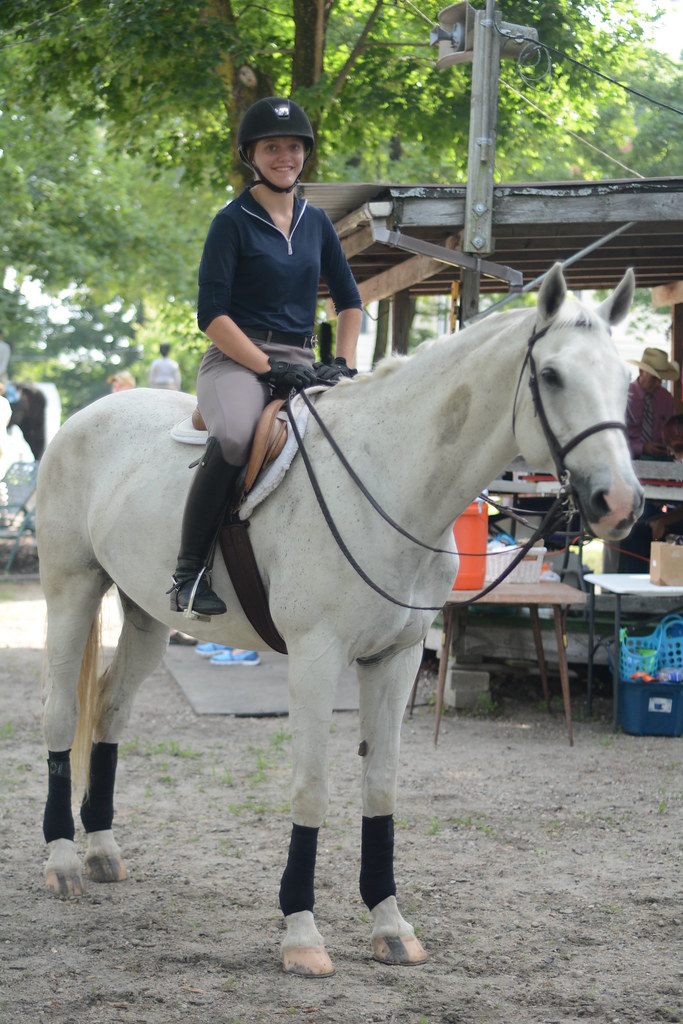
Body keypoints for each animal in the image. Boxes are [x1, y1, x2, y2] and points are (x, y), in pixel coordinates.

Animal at [36, 265, 643, 977]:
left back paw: (102, 850)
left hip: (146, 616)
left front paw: (390, 924)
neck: (389, 482)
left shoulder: (396, 659)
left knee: (109, 710)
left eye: (626, 379)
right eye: (551, 375)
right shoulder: (316, 659)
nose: (619, 503)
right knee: (61, 714)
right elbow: (312, 788)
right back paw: (63, 861)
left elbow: (380, 788)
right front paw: (301, 932)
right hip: (71, 590)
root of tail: (85, 418)